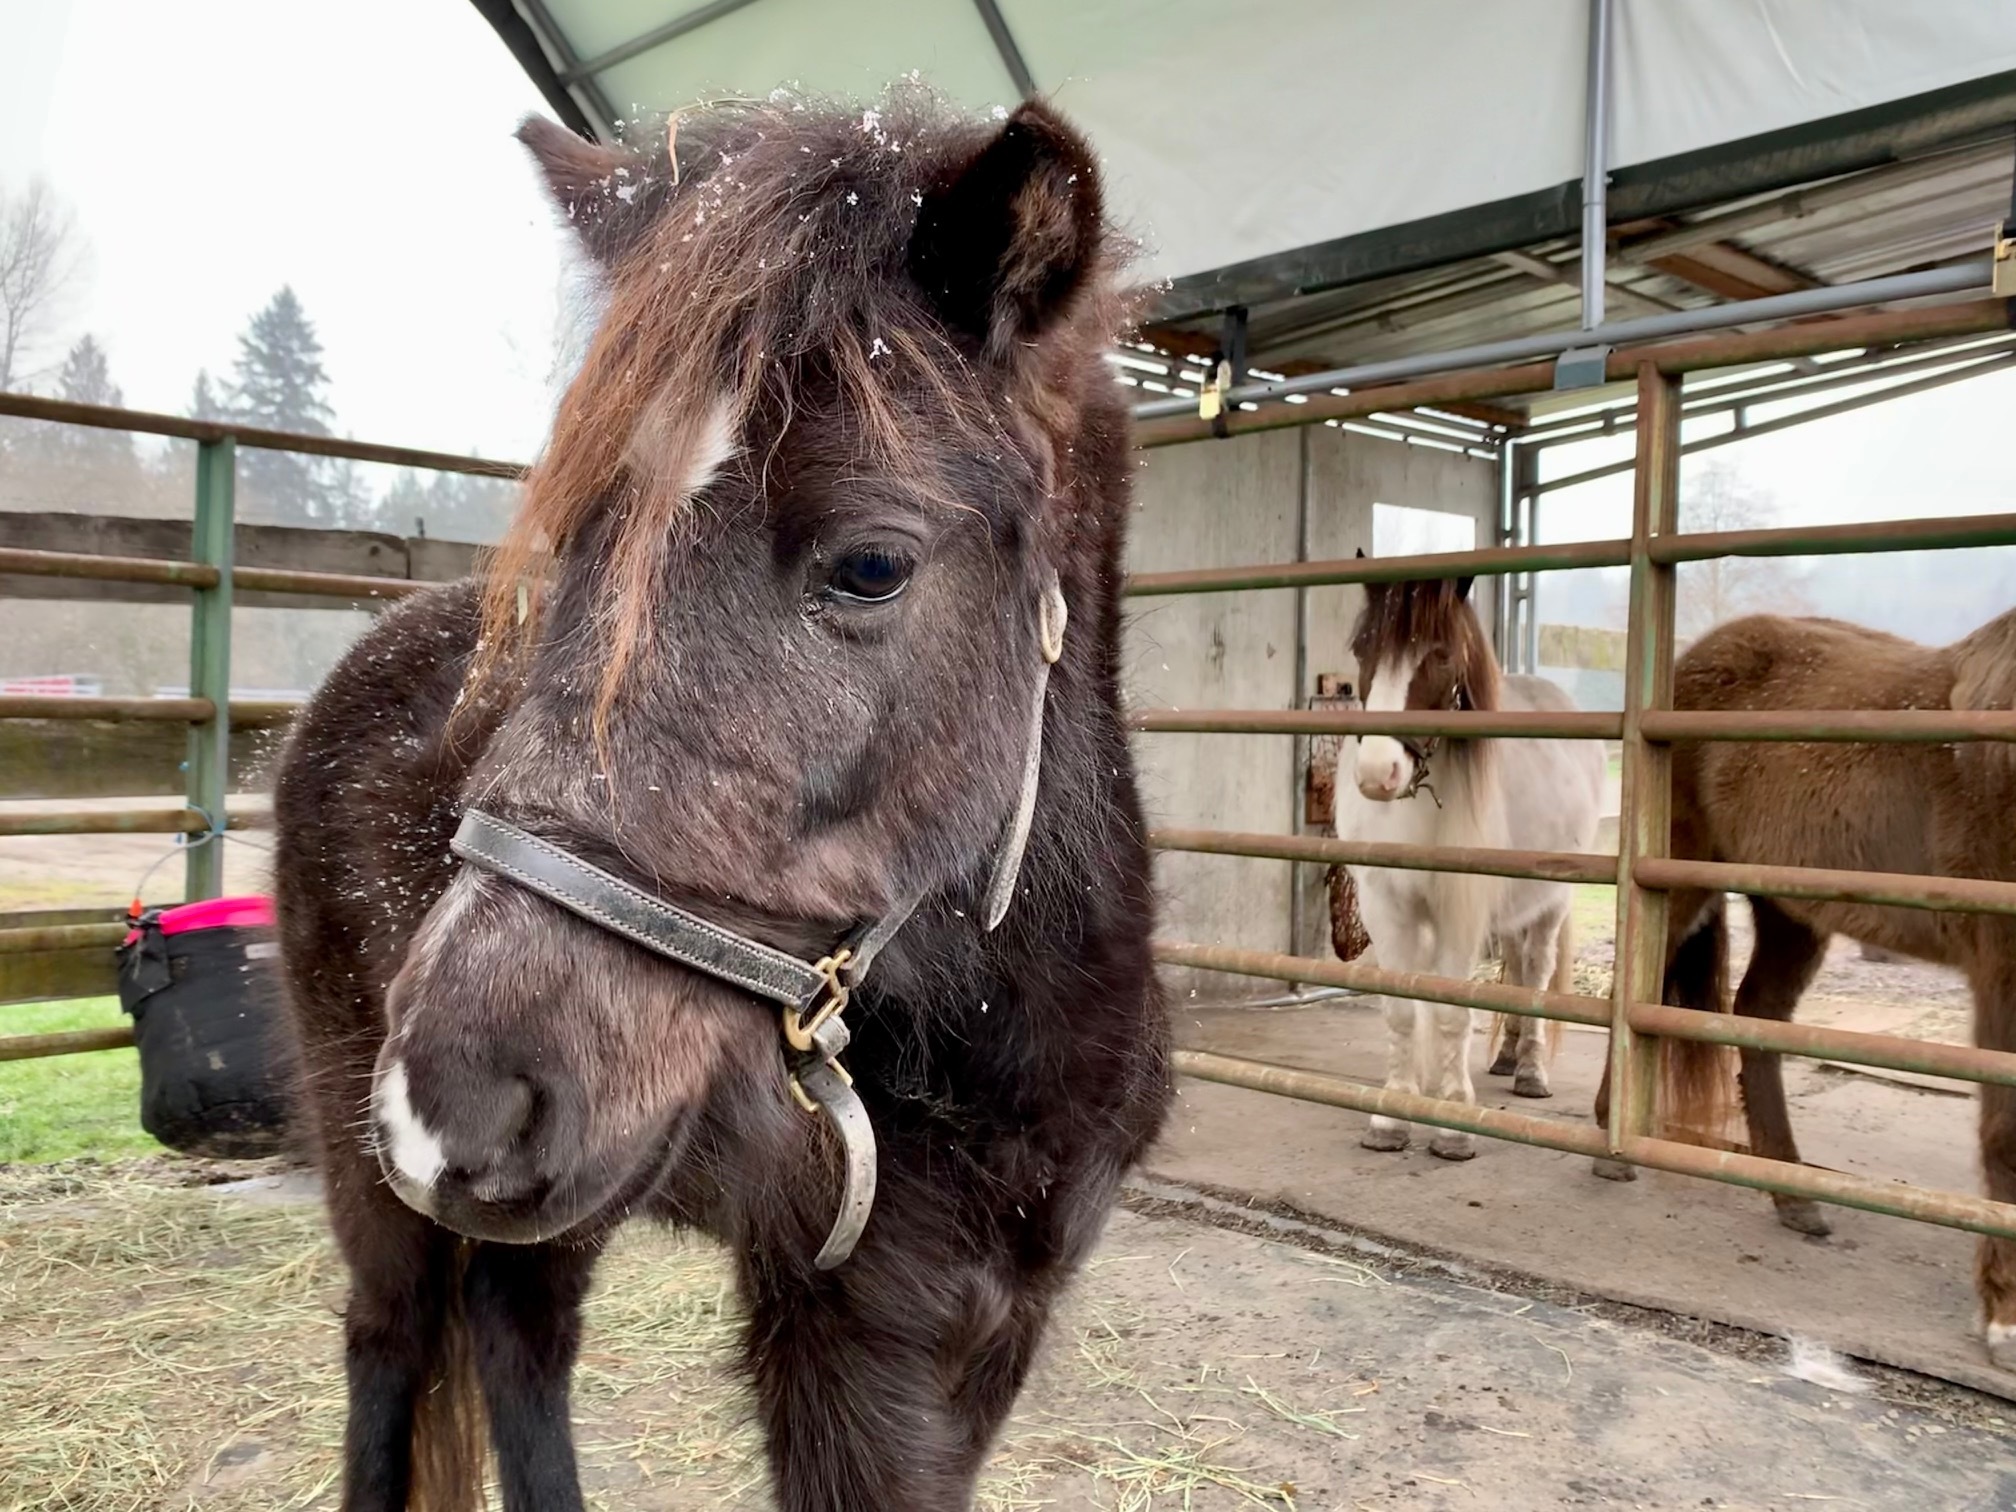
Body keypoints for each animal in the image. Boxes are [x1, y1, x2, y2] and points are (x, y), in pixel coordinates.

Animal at [276, 97, 1177, 1512]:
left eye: (873, 564)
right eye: (578, 545)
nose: (448, 1103)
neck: (1007, 1041)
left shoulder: (996, 1323)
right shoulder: (850, 1338)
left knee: (516, 1332)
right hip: (376, 1149)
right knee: (394, 1338)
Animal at [1330, 572, 1596, 1161]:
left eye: (1442, 655)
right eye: (1361, 649)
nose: (1377, 773)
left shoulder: (1460, 909)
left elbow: (1452, 1010)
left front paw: (1452, 1122)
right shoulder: (1386, 905)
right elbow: (1403, 1009)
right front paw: (1392, 1117)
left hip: (1553, 898)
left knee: (1536, 970)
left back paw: (1530, 1070)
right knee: (1516, 963)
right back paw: (1507, 1055)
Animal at [1596, 608, 2016, 1370]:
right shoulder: (2002, 962)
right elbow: (2007, 1134)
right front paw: (2005, 1319)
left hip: (1790, 906)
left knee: (1756, 1016)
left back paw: (1793, 1195)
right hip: (1682, 879)